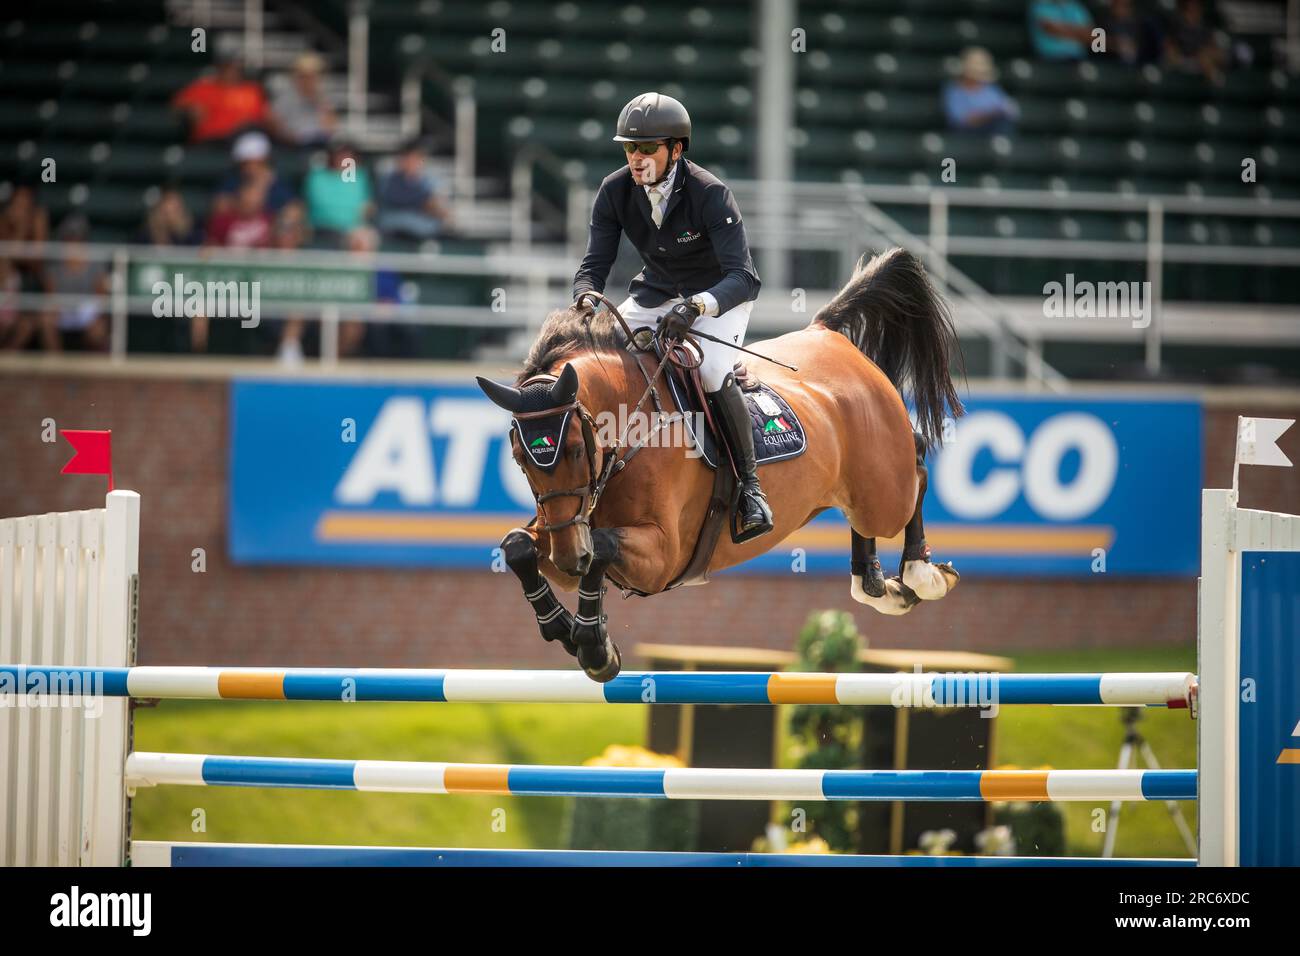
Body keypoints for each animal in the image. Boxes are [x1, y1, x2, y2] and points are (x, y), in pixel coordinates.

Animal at [478, 247, 967, 681]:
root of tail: (827, 333)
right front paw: (566, 629)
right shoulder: (567, 527)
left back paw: (921, 574)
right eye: (520, 459)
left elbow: (601, 544)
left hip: (884, 491)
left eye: (578, 450)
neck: (629, 436)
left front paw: (596, 647)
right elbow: (518, 545)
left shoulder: (663, 556)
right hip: (858, 492)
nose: (569, 559)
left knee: (915, 469)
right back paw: (875, 581)